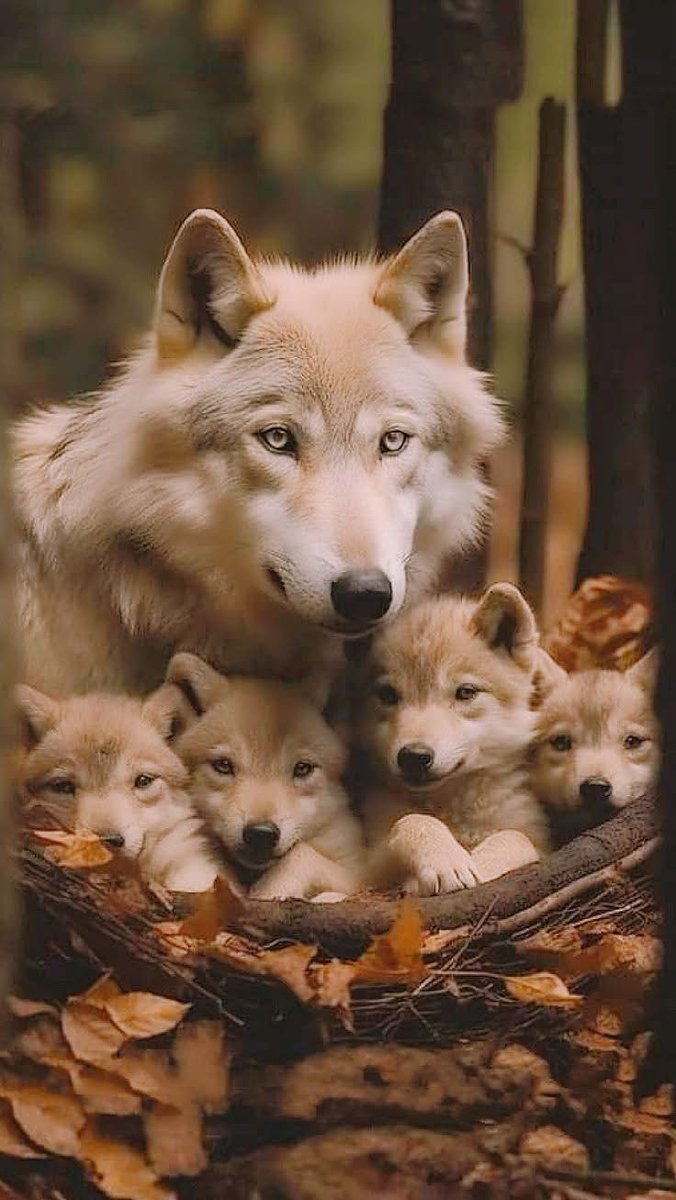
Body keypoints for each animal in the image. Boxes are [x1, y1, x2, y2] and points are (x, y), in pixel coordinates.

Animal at [167, 652, 365, 901]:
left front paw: (269, 892)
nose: (261, 834)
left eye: (302, 768)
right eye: (223, 765)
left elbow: (301, 855)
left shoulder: (362, 874)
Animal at [355, 583, 550, 895]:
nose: (414, 757)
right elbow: (412, 820)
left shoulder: (541, 841)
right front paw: (446, 861)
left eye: (466, 692)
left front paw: (480, 865)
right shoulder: (368, 867)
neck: (453, 807)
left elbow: (516, 837)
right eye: (387, 695)